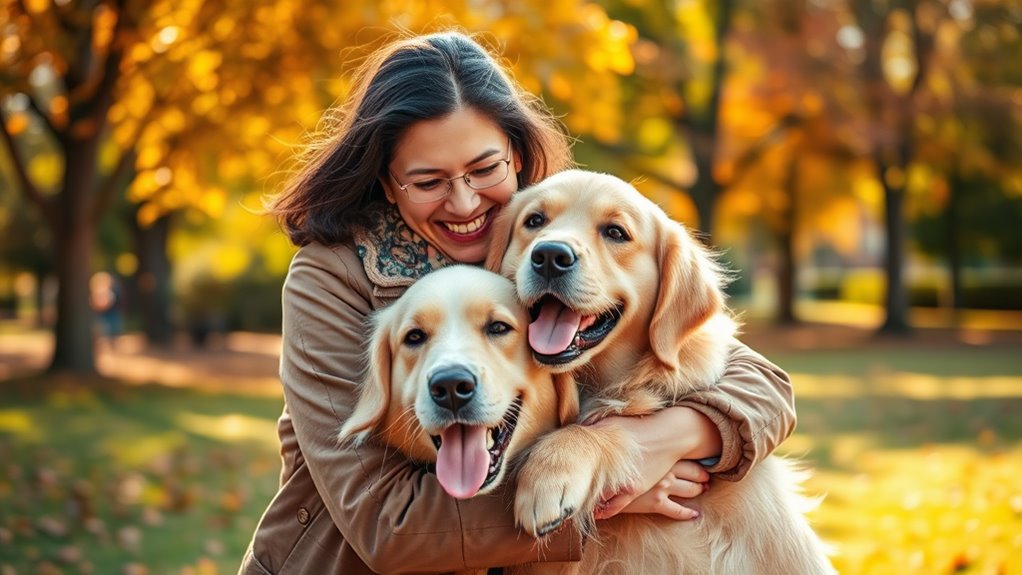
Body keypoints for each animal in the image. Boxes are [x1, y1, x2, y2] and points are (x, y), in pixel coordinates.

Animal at [482, 169, 833, 575]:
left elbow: (604, 430)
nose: (550, 255)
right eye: (535, 221)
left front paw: (547, 477)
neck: (594, 386)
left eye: (616, 232)